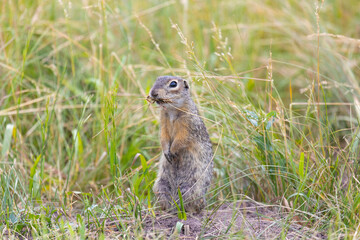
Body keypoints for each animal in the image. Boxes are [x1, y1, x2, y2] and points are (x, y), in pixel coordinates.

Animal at [147, 76, 212, 213]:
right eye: (156, 79)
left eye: (173, 84)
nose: (153, 93)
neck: (172, 110)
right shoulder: (163, 122)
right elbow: (163, 137)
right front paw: (166, 151)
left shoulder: (188, 124)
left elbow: (181, 139)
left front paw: (172, 151)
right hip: (160, 185)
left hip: (190, 188)